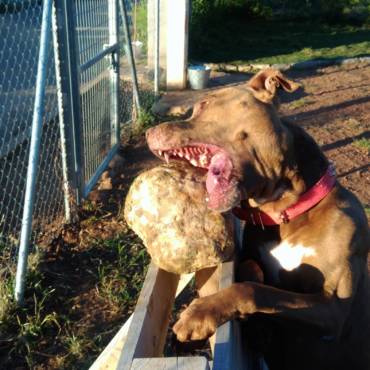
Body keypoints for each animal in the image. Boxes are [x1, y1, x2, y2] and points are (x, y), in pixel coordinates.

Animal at [145, 70, 370, 370]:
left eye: (203, 104)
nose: (148, 132)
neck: (288, 213)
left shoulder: (333, 308)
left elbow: (254, 290)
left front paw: (199, 313)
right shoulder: (252, 255)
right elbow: (251, 271)